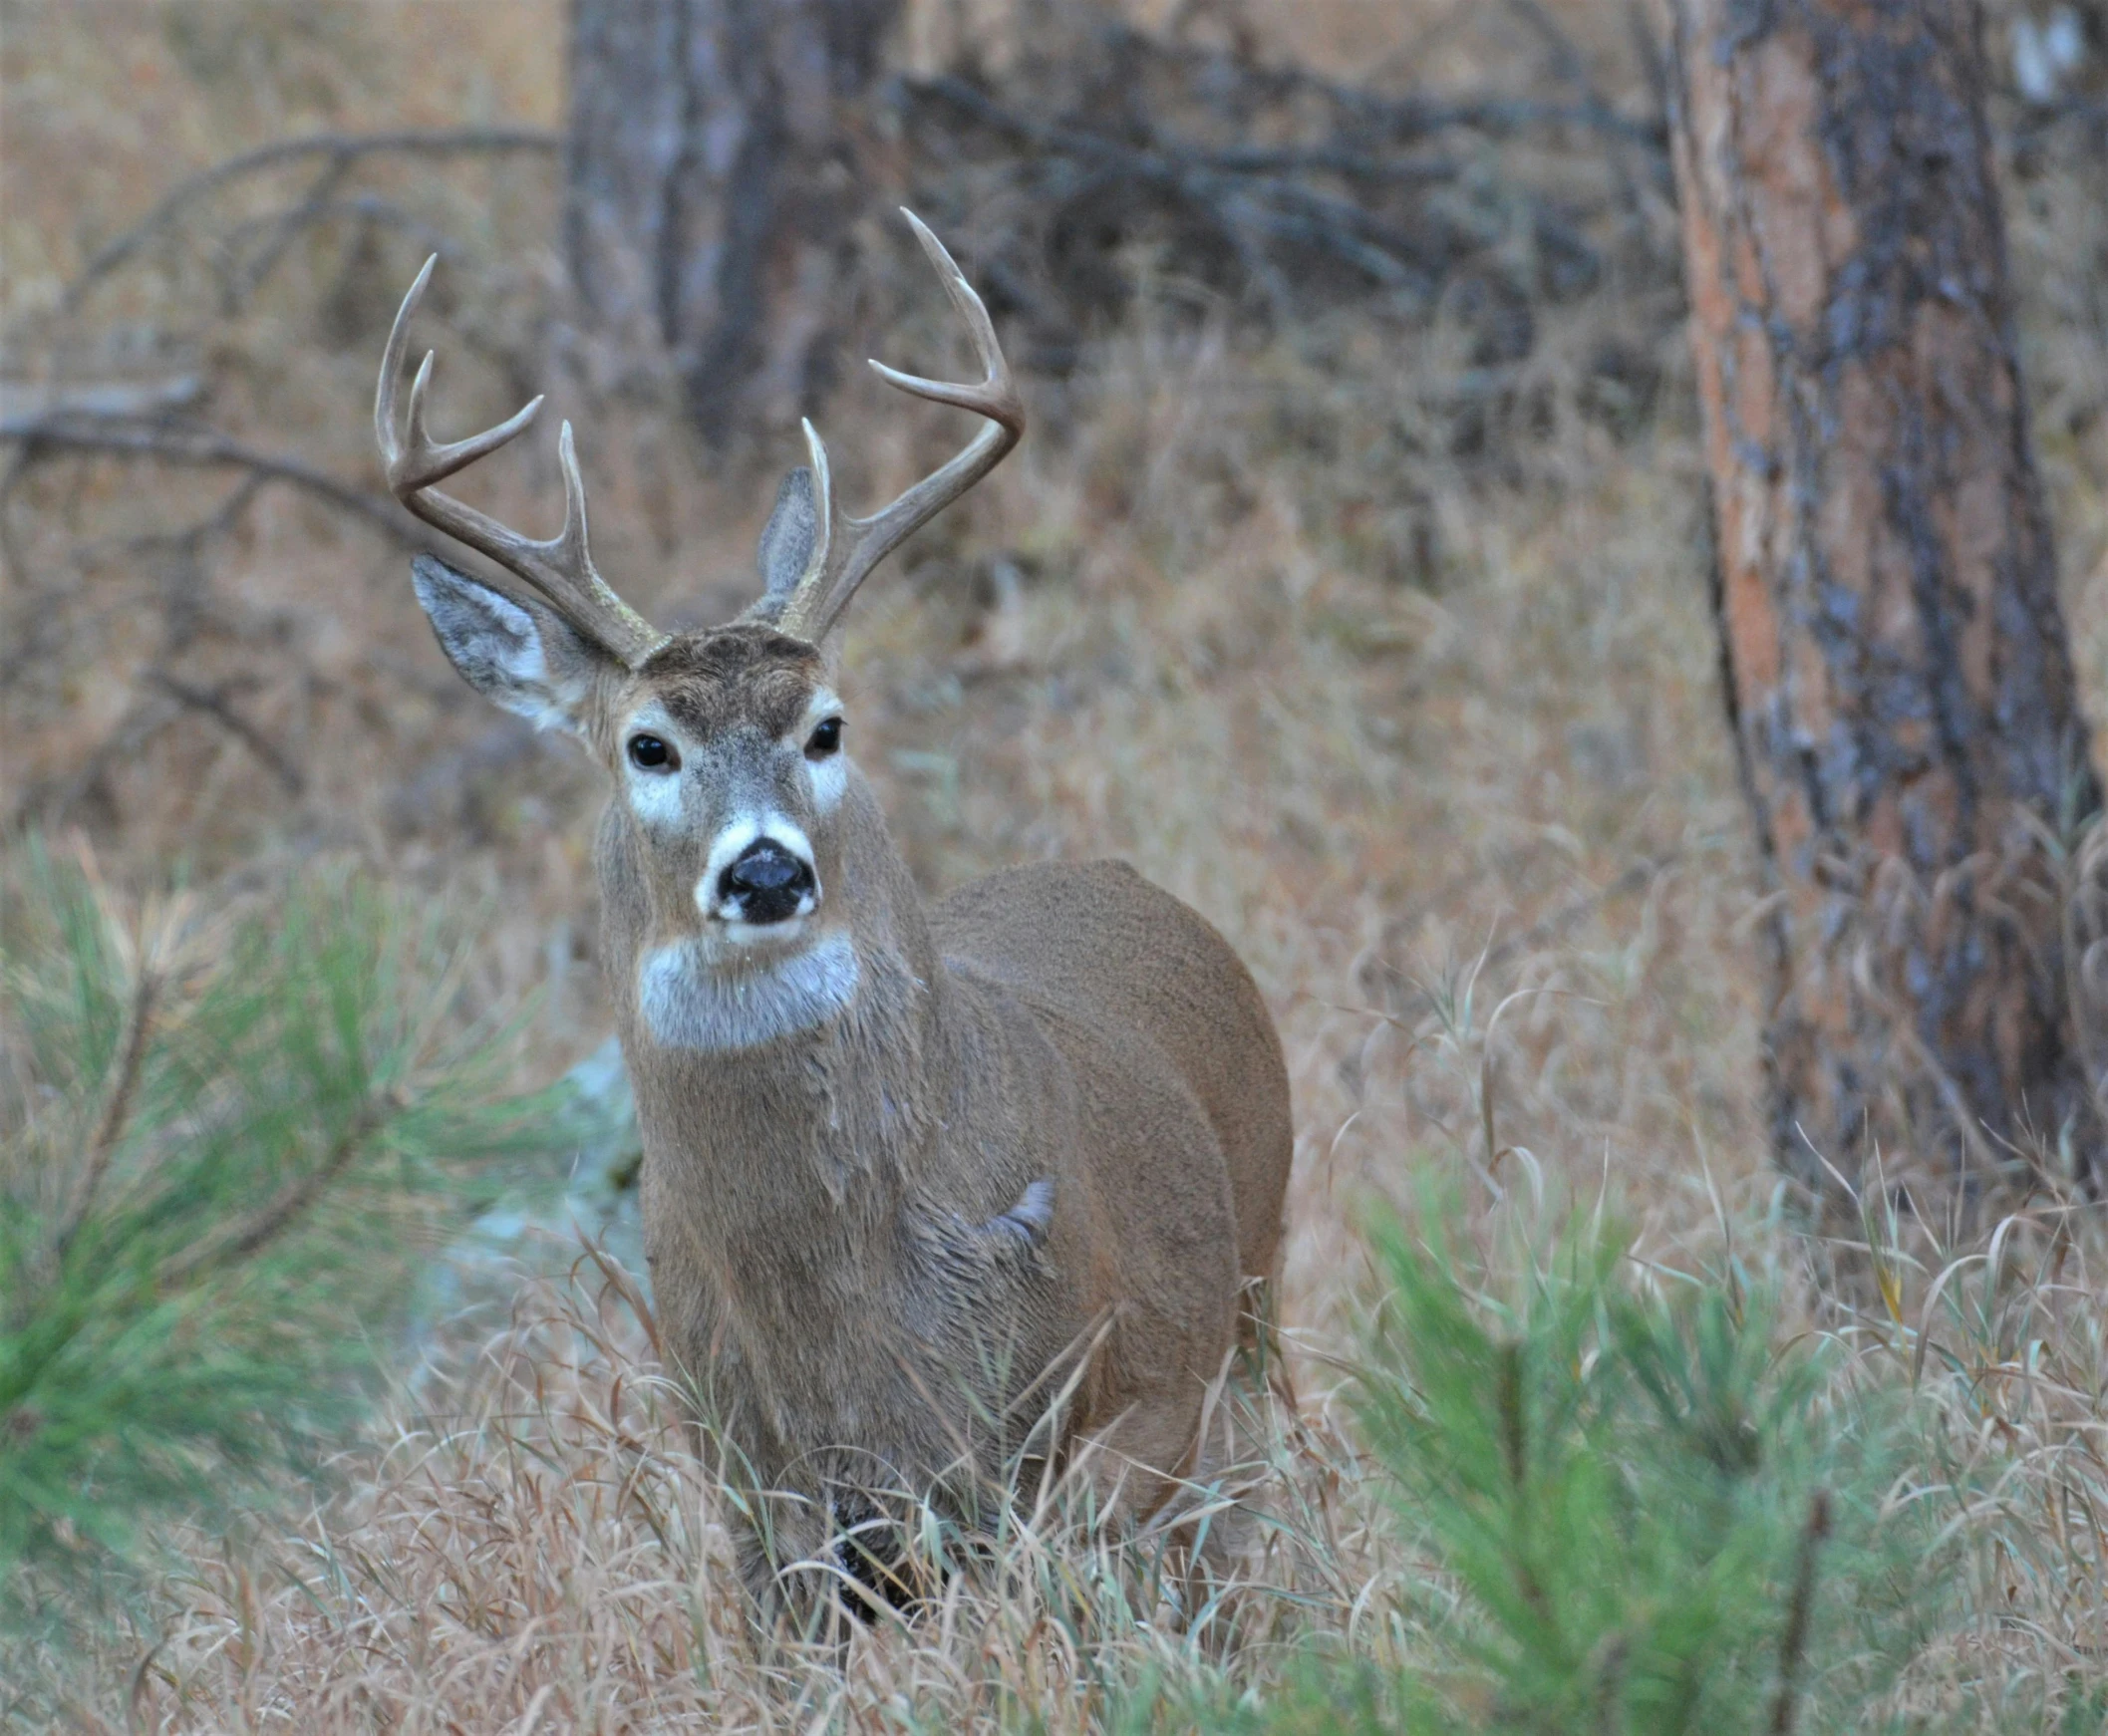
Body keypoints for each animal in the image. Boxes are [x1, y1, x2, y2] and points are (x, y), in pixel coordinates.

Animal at [377, 213, 1290, 1617]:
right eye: (647, 743)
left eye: (827, 726)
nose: (765, 872)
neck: (845, 1324)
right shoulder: (761, 1496)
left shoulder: (1110, 1425)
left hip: (1255, 1287)